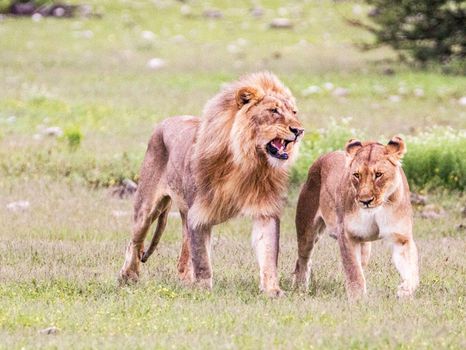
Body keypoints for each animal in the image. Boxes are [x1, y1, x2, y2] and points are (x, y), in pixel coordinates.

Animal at [118, 72, 304, 296]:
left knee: (183, 255)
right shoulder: (199, 214)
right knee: (134, 242)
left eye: (293, 112)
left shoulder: (265, 210)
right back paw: (128, 276)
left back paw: (185, 281)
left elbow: (268, 253)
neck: (247, 161)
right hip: (146, 207)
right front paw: (204, 290)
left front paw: (273, 291)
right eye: (273, 111)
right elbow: (202, 260)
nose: (299, 130)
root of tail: (164, 122)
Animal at [294, 136, 418, 298]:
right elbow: (354, 272)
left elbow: (412, 270)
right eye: (356, 175)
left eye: (378, 174)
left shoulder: (401, 238)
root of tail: (322, 157)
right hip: (307, 230)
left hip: (364, 247)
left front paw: (405, 290)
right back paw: (300, 289)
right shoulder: (347, 235)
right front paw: (358, 299)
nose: (365, 201)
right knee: (302, 260)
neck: (376, 211)